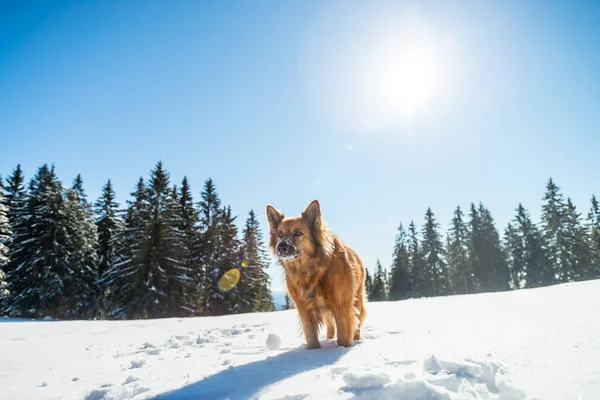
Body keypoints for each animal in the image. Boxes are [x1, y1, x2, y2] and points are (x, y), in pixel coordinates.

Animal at [266, 200, 366, 350]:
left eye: (298, 233)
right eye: (280, 234)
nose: (281, 247)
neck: (312, 270)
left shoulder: (342, 305)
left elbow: (344, 335)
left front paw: (342, 348)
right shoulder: (305, 309)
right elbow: (311, 336)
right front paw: (314, 352)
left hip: (357, 299)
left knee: (357, 323)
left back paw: (356, 340)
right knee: (330, 326)